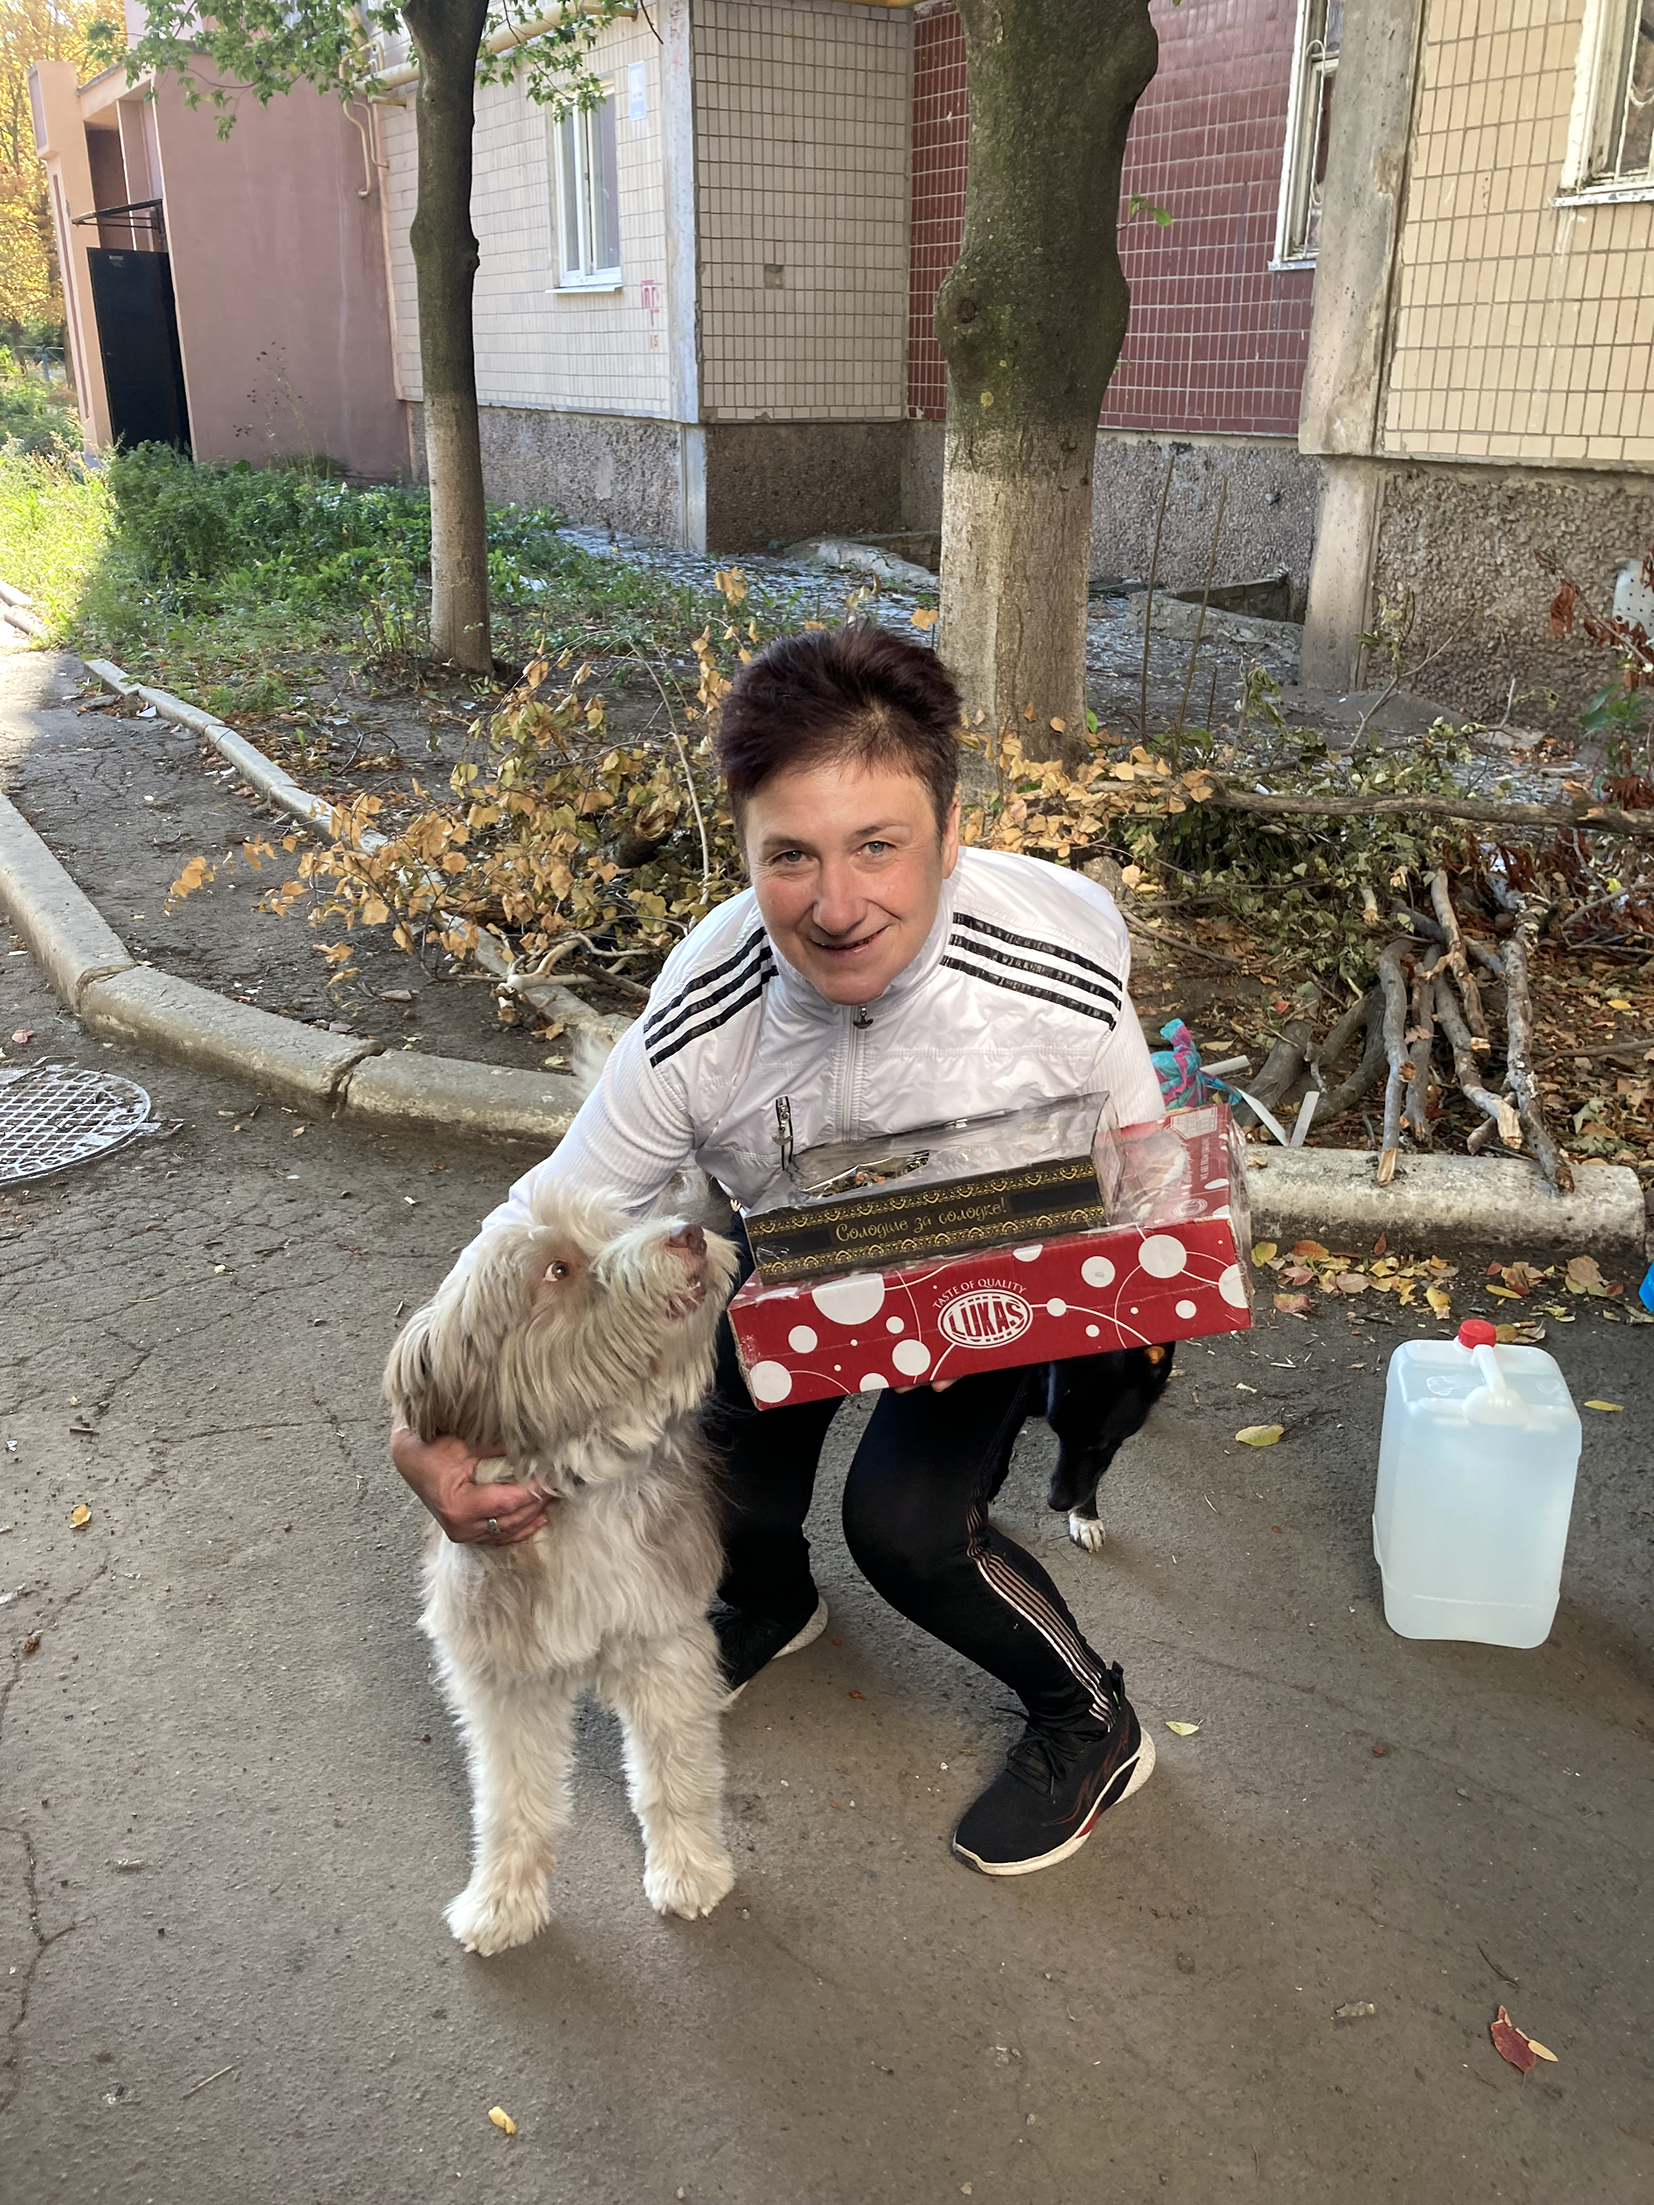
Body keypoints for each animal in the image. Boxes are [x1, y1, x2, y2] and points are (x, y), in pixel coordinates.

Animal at [384, 1181, 741, 1955]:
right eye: (558, 1270)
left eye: (621, 1223)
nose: (689, 1232)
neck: (578, 1480)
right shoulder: (502, 1674)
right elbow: (511, 1801)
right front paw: (501, 1900)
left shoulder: (662, 1639)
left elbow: (675, 1776)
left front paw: (689, 1869)